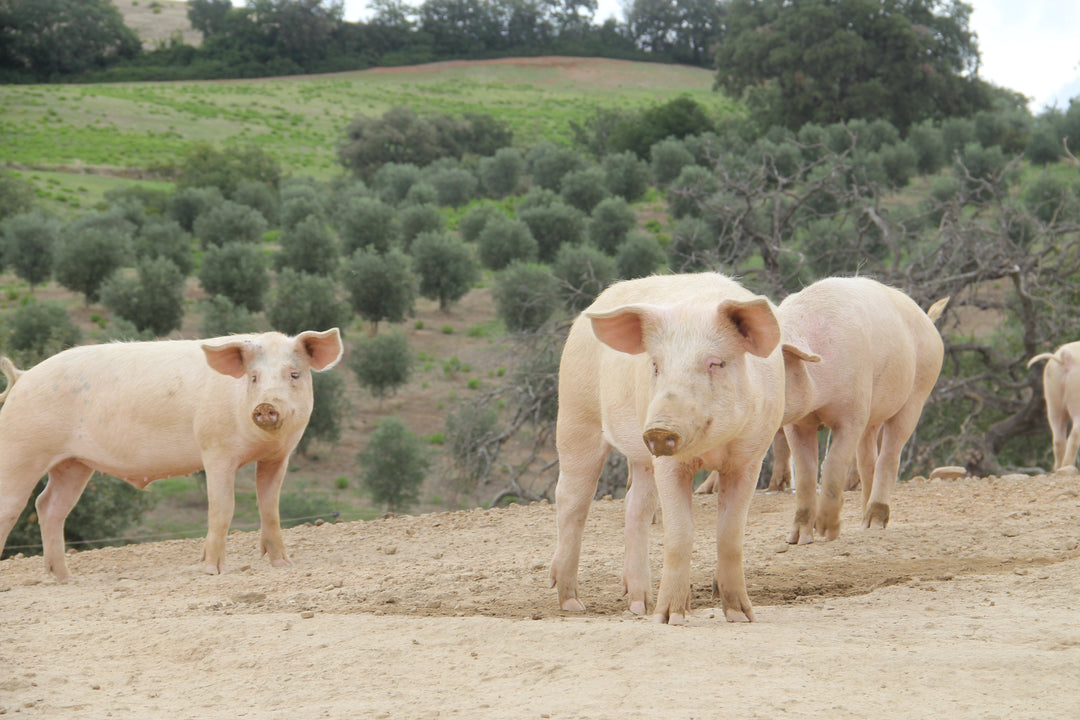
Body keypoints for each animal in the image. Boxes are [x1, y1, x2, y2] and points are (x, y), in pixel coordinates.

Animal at [0, 330, 341, 582]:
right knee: (13, 506)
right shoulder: (215, 451)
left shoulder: (278, 456)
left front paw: (284, 565)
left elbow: (270, 508)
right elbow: (222, 508)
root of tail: (22, 377)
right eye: (254, 377)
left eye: (294, 374)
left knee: (49, 506)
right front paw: (212, 570)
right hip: (20, 446)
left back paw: (65, 578)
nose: (266, 406)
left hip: (73, 464)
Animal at [548, 273, 786, 621]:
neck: (711, 450)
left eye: (715, 364)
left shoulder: (750, 457)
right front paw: (670, 617)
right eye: (656, 365)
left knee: (635, 505)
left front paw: (741, 616)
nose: (659, 428)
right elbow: (680, 534)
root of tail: (589, 311)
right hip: (576, 413)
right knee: (571, 500)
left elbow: (730, 536)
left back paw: (639, 605)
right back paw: (572, 603)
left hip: (639, 455)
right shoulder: (668, 462)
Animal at [777, 278, 946, 544]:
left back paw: (876, 522)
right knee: (869, 460)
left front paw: (827, 531)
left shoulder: (852, 414)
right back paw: (864, 524)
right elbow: (805, 475)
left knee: (890, 455)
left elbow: (834, 463)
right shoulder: (798, 423)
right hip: (873, 414)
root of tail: (927, 319)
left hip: (918, 392)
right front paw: (797, 540)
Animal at [1023, 343, 1080, 472]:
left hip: (1052, 397)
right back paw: (1069, 468)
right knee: (1074, 434)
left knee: (1058, 438)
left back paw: (1057, 470)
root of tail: (1066, 355)